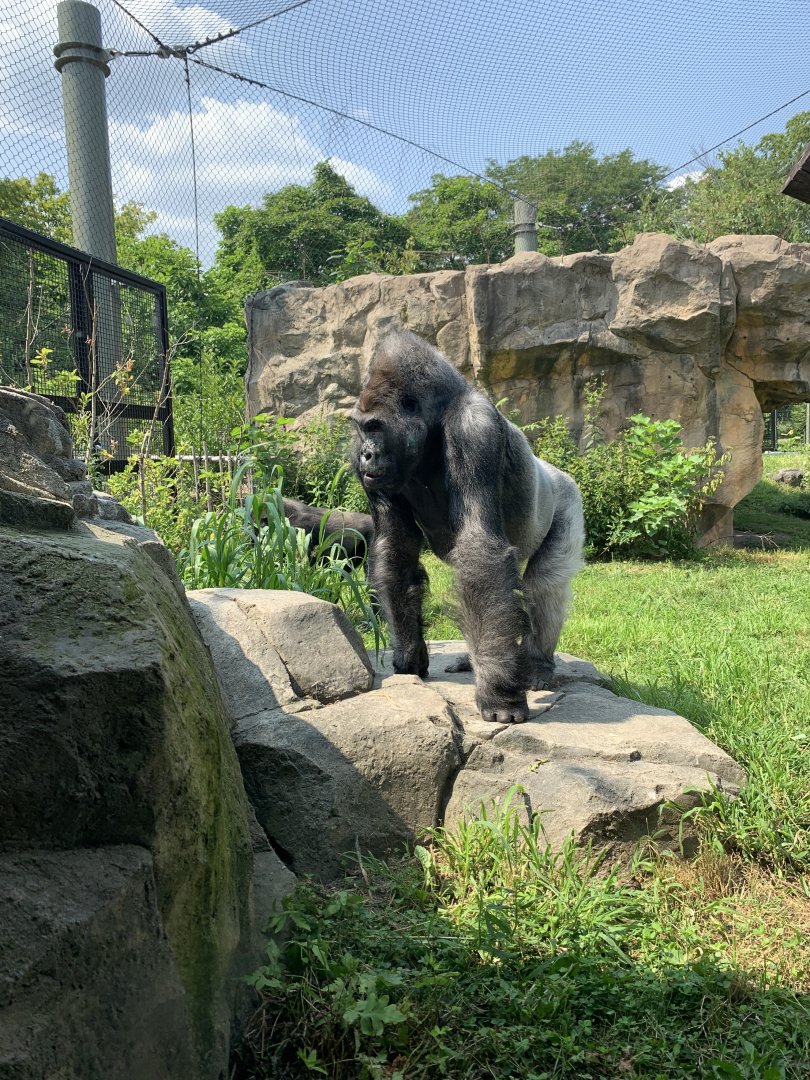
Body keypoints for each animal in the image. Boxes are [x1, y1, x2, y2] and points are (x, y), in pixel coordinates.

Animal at [351, 330, 584, 724]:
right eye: (361, 428)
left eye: (375, 426)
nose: (367, 453)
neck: (434, 424)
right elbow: (396, 549)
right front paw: (410, 653)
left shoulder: (476, 430)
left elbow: (480, 547)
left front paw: (498, 695)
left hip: (568, 497)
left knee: (545, 584)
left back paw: (536, 665)